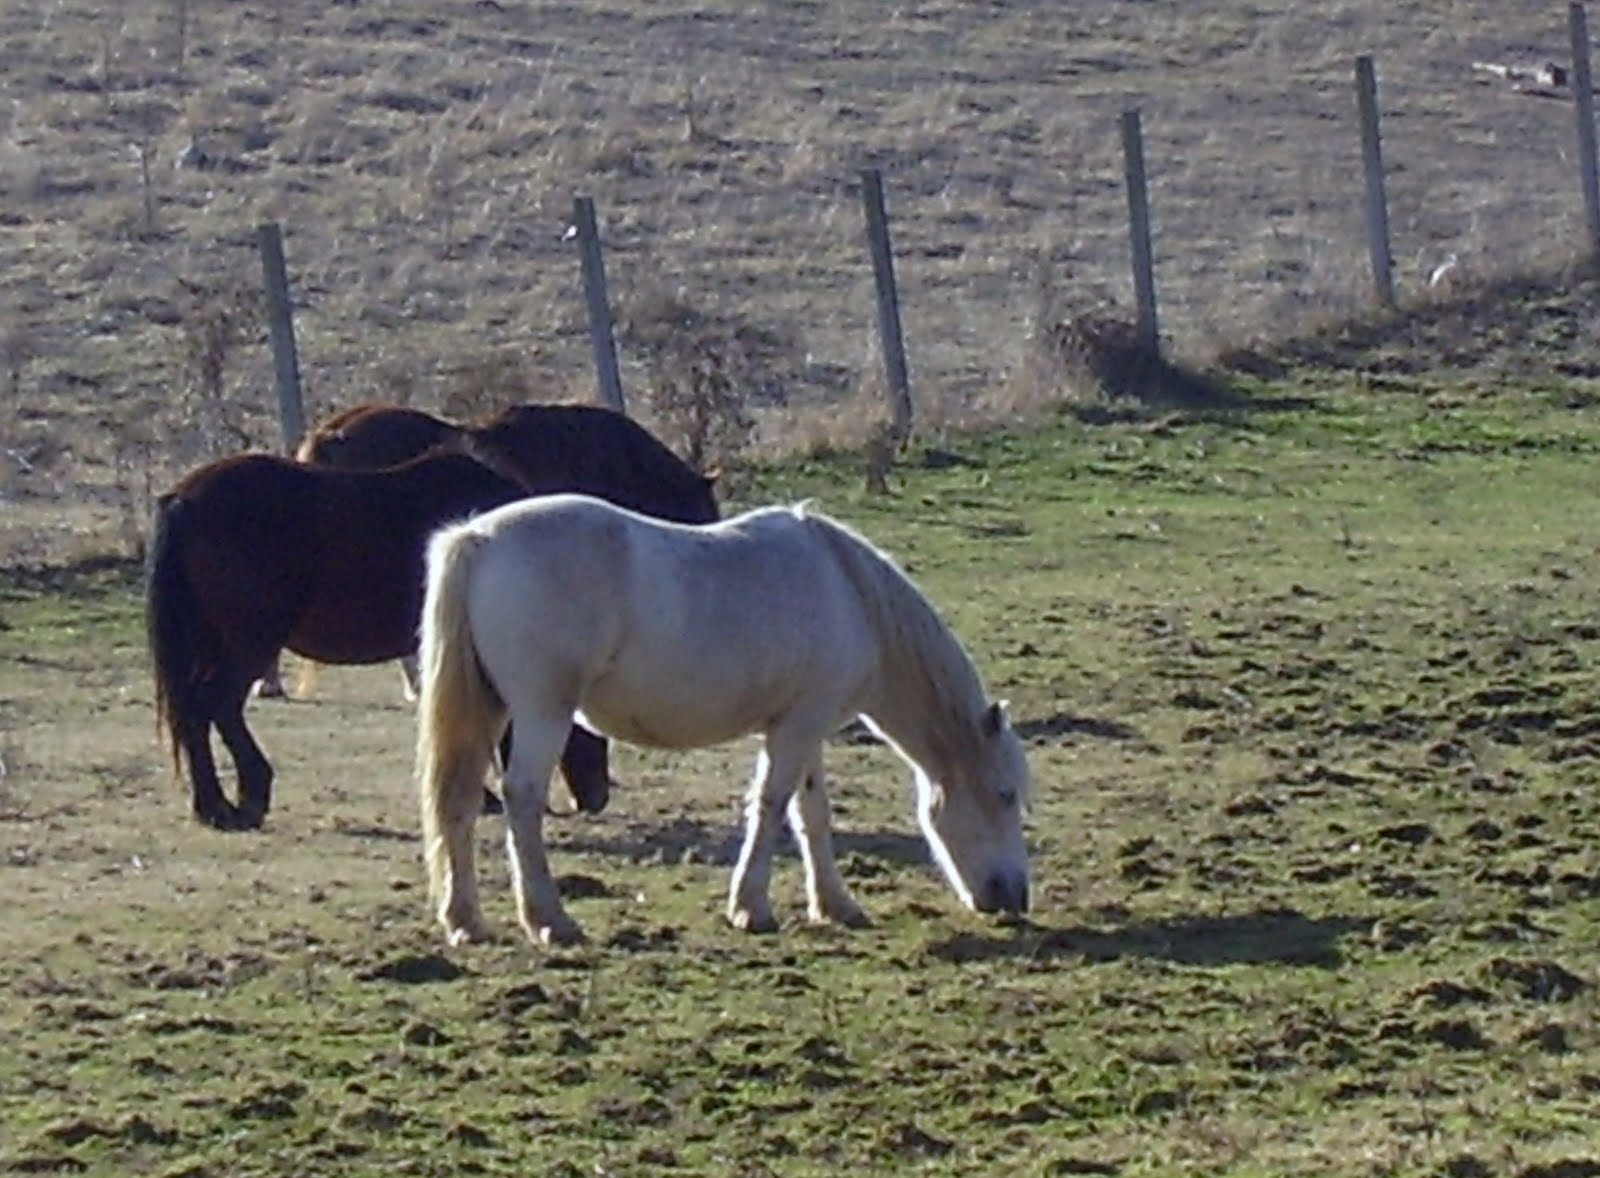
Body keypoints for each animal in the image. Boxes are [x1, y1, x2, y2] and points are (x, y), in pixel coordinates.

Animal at [413, 494, 1032, 947]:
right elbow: (772, 805)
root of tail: (478, 538)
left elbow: (811, 814)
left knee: (459, 801)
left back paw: (466, 922)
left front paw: (836, 905)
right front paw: (751, 908)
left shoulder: (805, 727)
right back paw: (550, 920)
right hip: (544, 712)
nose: (1015, 899)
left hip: (491, 710)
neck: (849, 594)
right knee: (521, 799)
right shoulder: (795, 729)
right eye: (1004, 795)